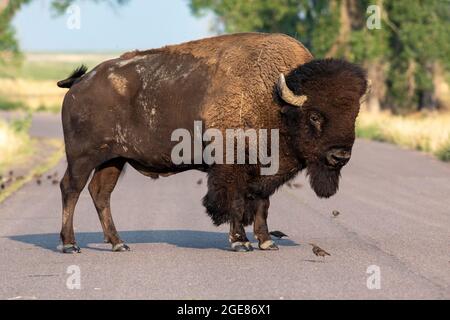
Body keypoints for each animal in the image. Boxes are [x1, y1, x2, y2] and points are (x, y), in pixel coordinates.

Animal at [57, 32, 366, 252]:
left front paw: (266, 241)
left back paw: (118, 243)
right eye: (315, 115)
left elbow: (262, 203)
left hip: (113, 160)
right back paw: (70, 244)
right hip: (83, 157)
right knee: (71, 189)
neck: (277, 100)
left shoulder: (263, 171)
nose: (340, 156)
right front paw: (240, 242)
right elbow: (235, 201)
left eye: (354, 114)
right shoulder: (232, 167)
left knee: (100, 194)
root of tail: (80, 83)